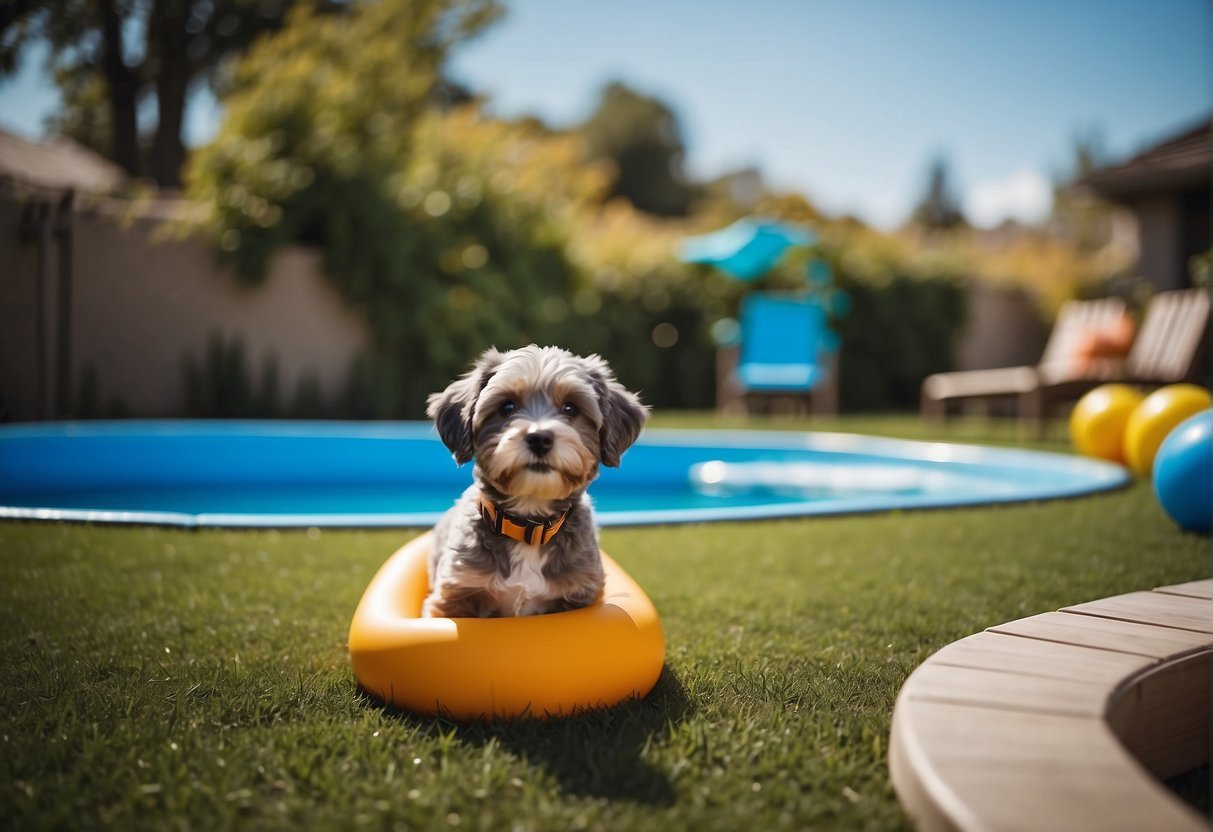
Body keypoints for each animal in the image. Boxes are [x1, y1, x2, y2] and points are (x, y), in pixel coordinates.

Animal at [422, 344, 650, 618]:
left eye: (570, 408)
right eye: (507, 407)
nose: (539, 438)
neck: (529, 525)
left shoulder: (577, 592)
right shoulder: (454, 594)